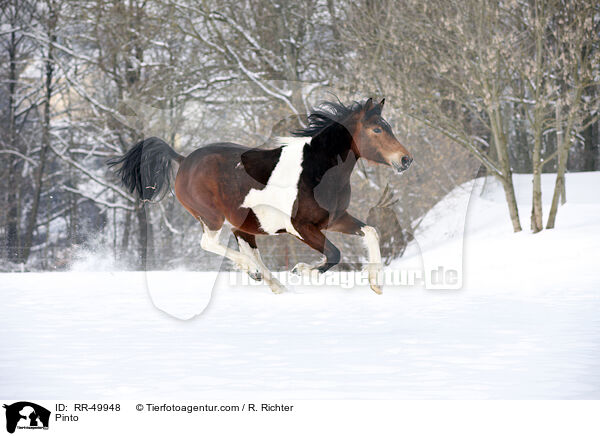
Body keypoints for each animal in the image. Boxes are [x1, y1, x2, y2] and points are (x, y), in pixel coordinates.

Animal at [109, 99, 412, 294]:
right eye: (377, 129)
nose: (405, 159)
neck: (317, 170)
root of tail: (183, 160)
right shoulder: (300, 227)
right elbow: (335, 254)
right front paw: (301, 270)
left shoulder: (335, 219)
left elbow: (371, 232)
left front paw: (375, 283)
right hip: (211, 218)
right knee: (209, 243)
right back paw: (254, 271)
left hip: (242, 225)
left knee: (247, 250)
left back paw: (272, 284)